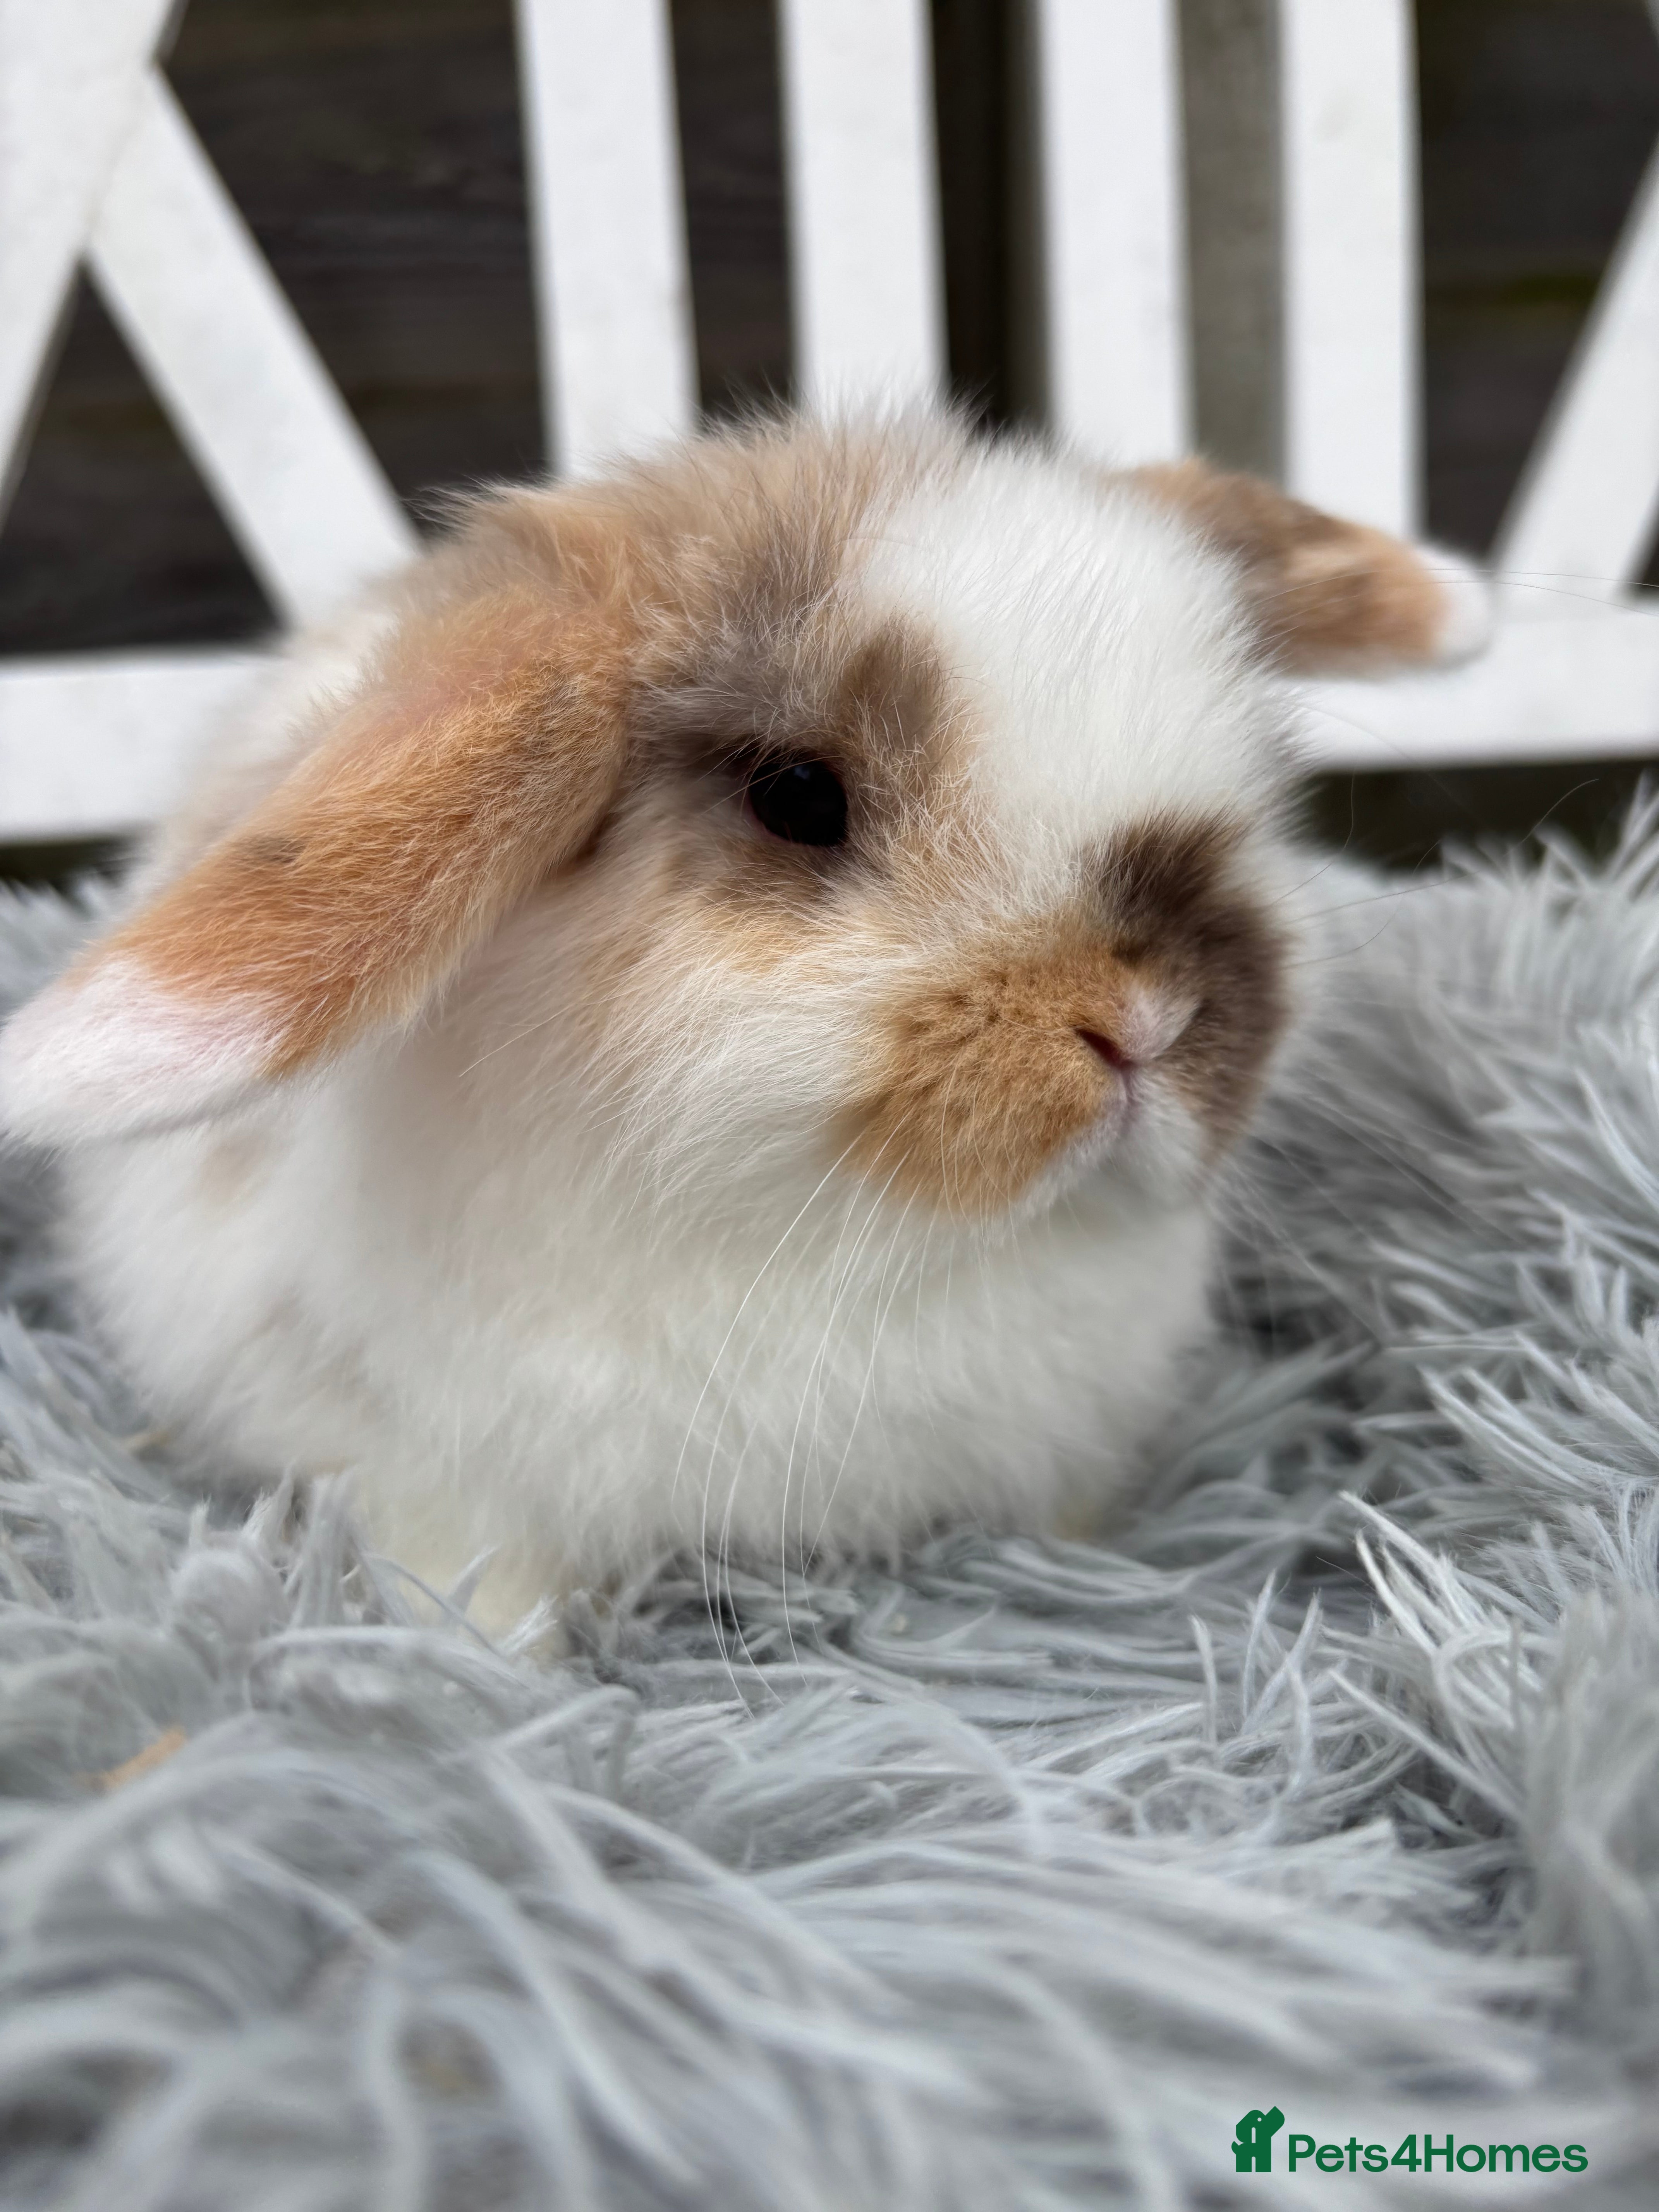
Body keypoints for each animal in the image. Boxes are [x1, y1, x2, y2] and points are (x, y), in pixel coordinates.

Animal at [0, 414, 1489, 1628]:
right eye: (797, 797)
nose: (1150, 1018)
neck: (860, 1251)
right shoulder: (432, 1471)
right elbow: (474, 1587)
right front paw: (505, 1680)